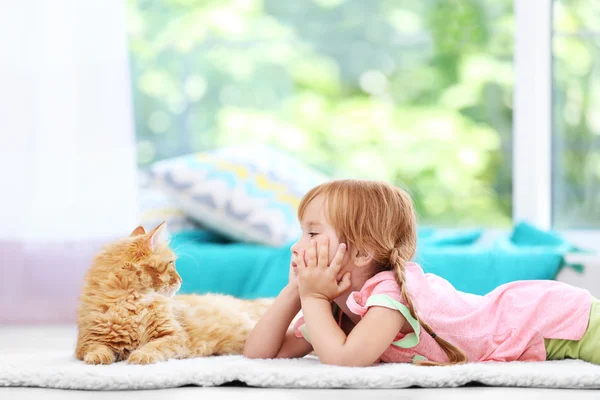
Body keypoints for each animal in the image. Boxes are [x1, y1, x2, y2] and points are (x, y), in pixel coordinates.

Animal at [74, 222, 272, 366]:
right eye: (170, 264)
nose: (181, 279)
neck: (132, 304)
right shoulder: (89, 340)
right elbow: (97, 348)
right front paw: (97, 358)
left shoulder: (173, 336)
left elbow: (153, 346)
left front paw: (139, 356)